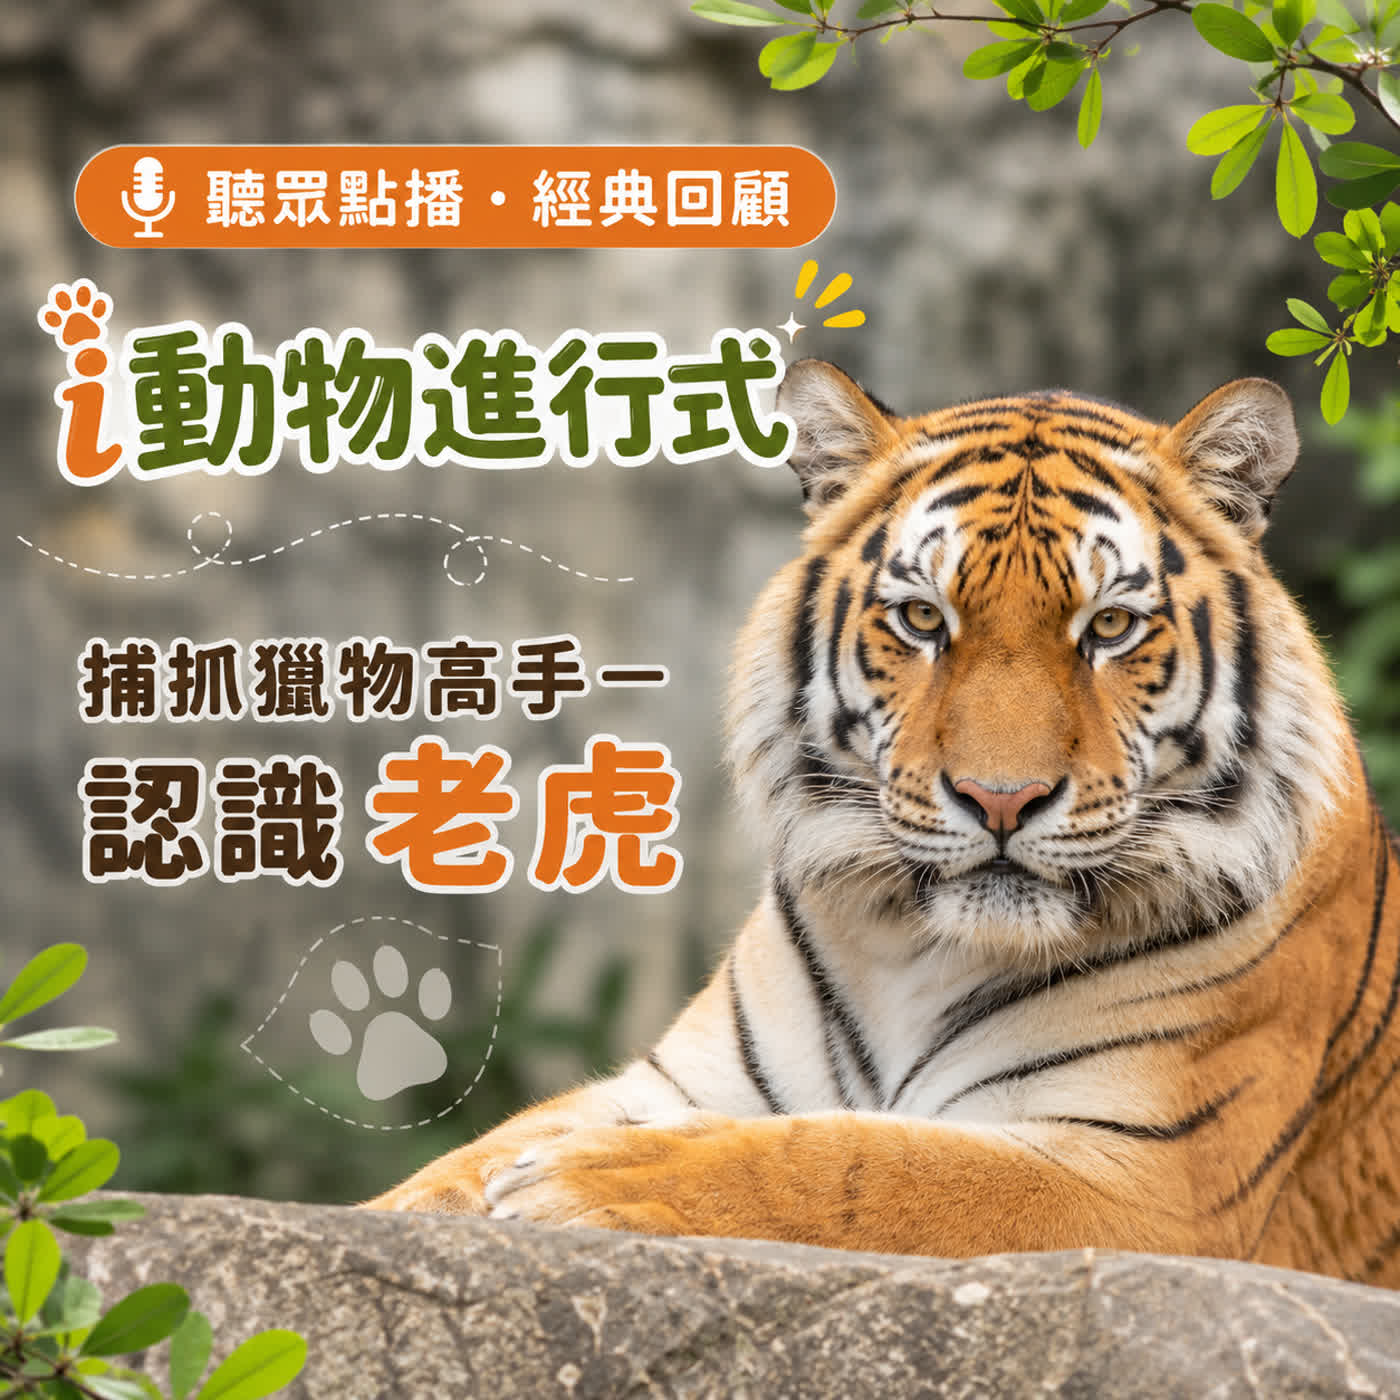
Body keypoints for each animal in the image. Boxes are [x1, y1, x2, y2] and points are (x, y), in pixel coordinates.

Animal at [368, 358, 1400, 1287]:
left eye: (1109, 628)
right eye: (921, 619)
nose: (1000, 798)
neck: (923, 950)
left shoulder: (1149, 1178)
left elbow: (864, 1162)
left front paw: (591, 1178)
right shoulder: (680, 1082)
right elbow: (452, 1166)